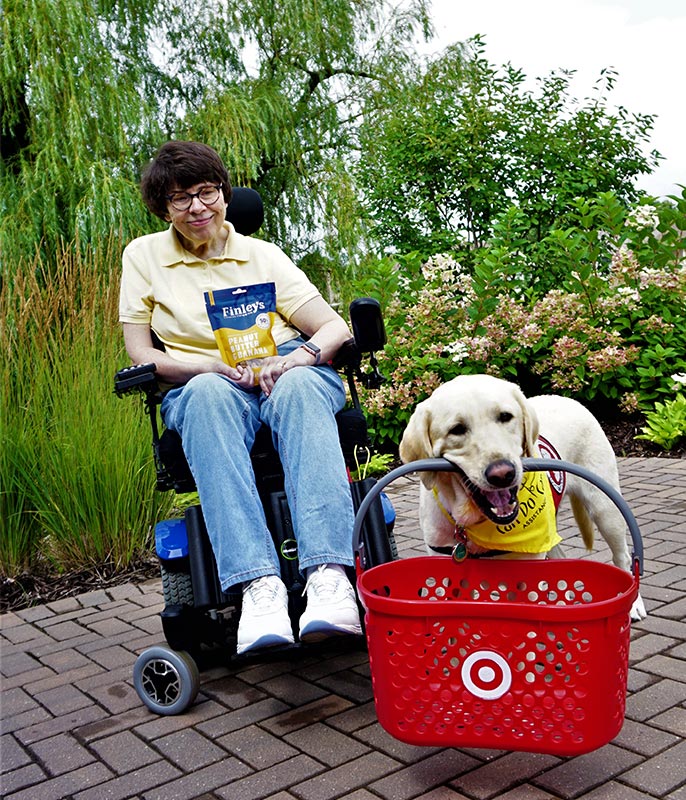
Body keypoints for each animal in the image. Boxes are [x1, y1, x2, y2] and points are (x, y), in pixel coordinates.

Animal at [400, 374, 648, 620]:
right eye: (457, 429)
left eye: (505, 417)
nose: (502, 473)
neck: (475, 523)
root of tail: (568, 398)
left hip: (605, 508)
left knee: (624, 558)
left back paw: (633, 604)